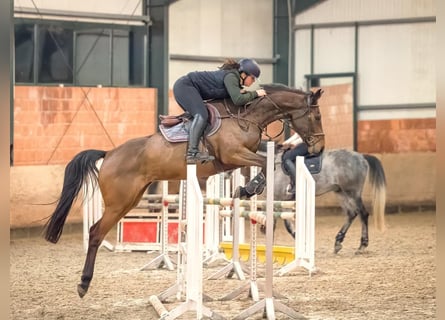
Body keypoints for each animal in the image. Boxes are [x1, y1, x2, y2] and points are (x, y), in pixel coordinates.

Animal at [43, 84, 324, 298]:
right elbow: (264, 163)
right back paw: (83, 283)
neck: (246, 117)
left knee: (99, 231)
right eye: (317, 117)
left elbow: (267, 160)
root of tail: (109, 153)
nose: (319, 148)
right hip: (118, 204)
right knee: (95, 233)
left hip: (131, 200)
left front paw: (247, 188)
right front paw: (249, 188)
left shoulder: (238, 158)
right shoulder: (232, 155)